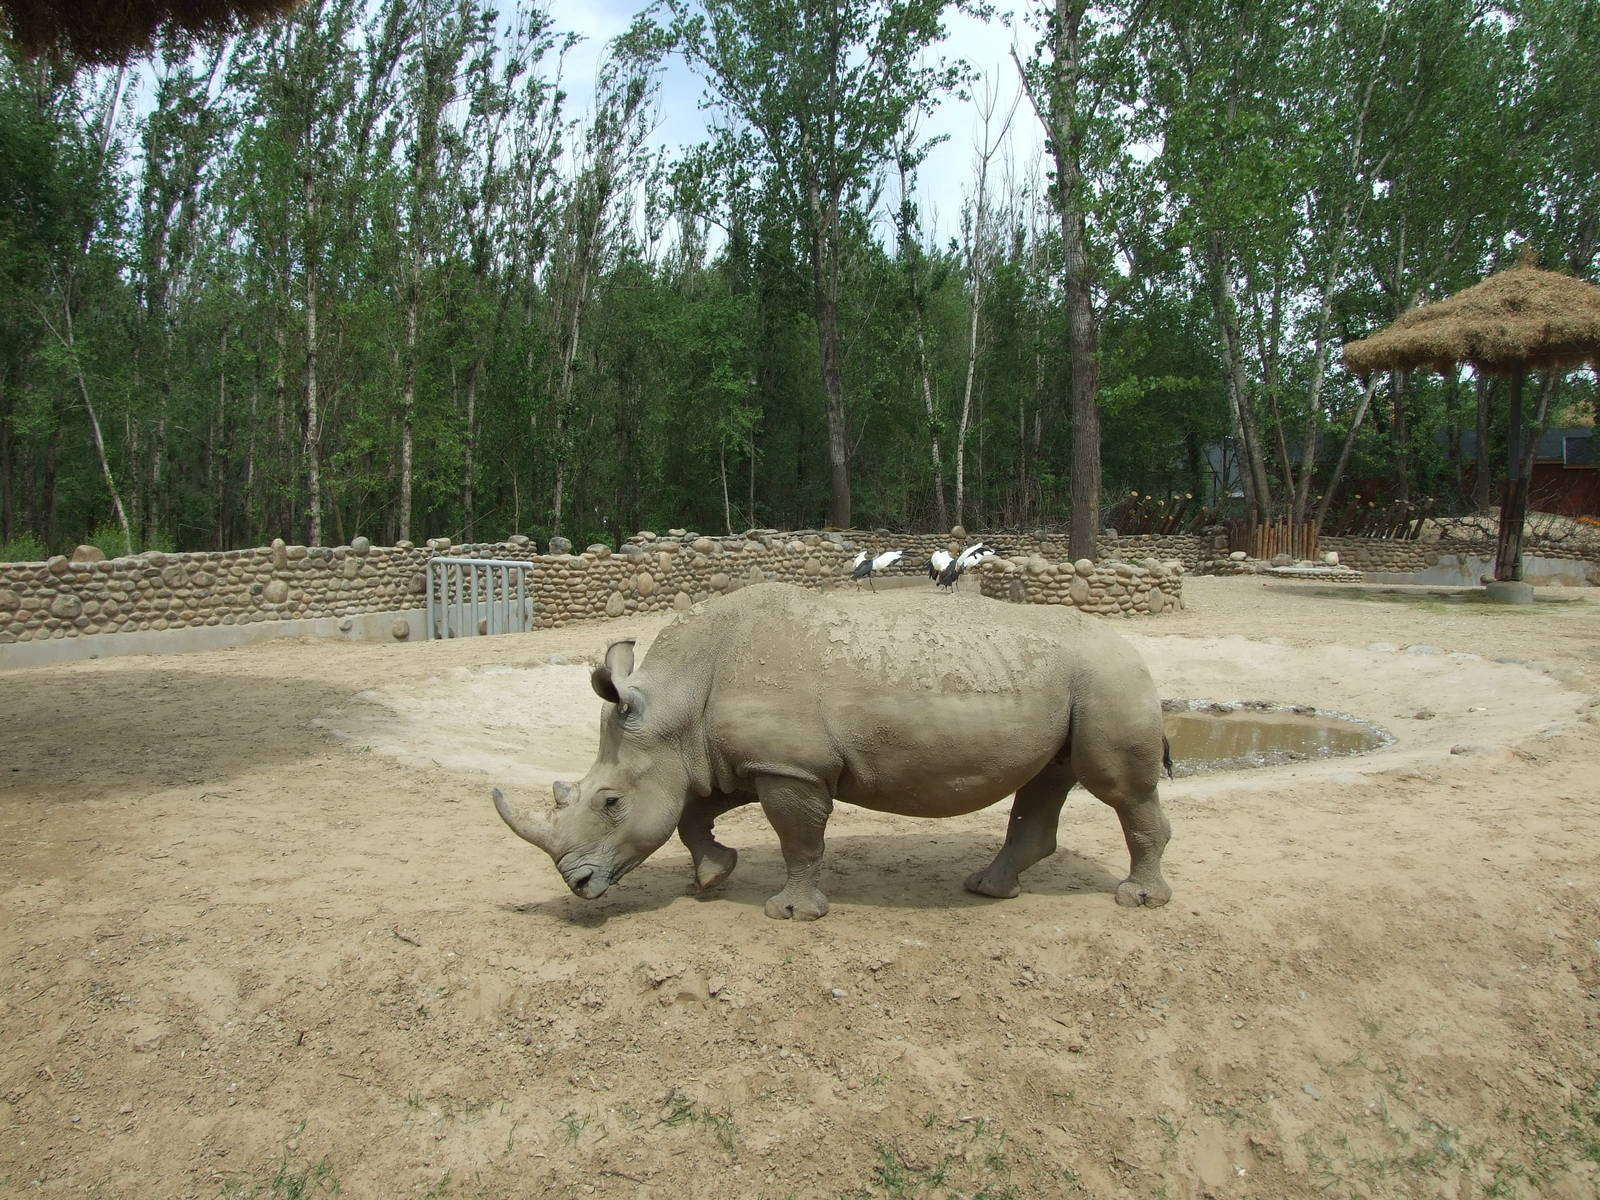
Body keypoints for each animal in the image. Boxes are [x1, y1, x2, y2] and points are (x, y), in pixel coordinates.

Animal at [492, 582, 1172, 919]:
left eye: (609, 802)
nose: (578, 884)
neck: (675, 706)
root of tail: (1135, 648)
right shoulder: (735, 759)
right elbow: (691, 812)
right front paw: (713, 876)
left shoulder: (790, 767)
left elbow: (798, 837)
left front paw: (791, 914)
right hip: (1077, 685)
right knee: (1046, 781)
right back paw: (985, 890)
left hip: (1109, 678)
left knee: (1118, 788)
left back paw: (1136, 901)